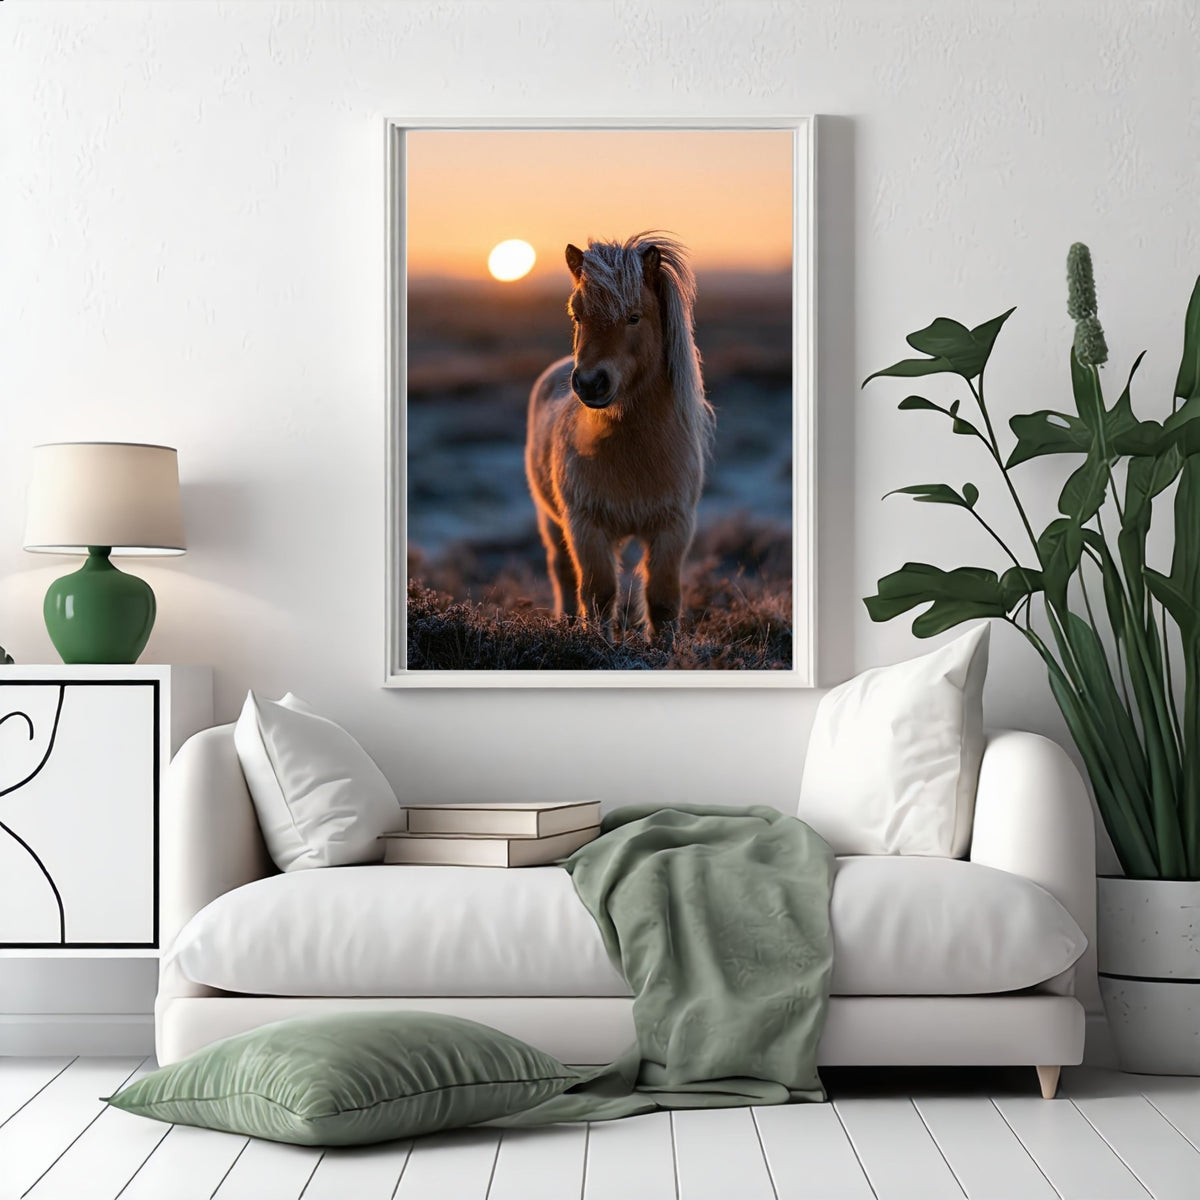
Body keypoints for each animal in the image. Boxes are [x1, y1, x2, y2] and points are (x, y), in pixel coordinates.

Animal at [524, 232, 714, 648]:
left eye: (634, 316)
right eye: (577, 315)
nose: (590, 382)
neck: (634, 454)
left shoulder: (674, 526)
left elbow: (662, 599)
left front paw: (664, 650)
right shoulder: (586, 526)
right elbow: (598, 594)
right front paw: (598, 645)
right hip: (551, 522)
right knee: (563, 574)